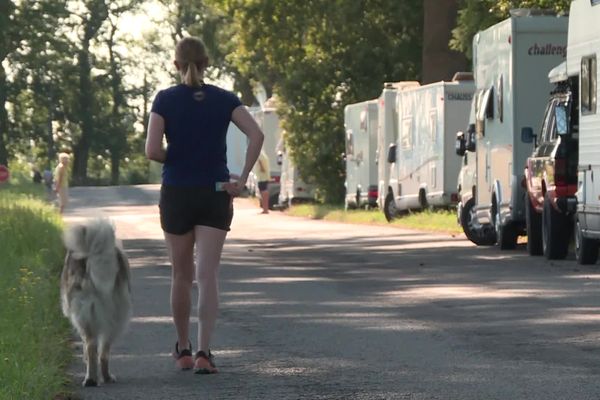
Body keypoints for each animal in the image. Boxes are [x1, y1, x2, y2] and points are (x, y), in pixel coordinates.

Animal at [61, 219, 131, 388]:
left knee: (91, 347)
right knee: (104, 352)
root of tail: (94, 254)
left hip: (86, 315)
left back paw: (91, 379)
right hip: (115, 318)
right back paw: (105, 377)